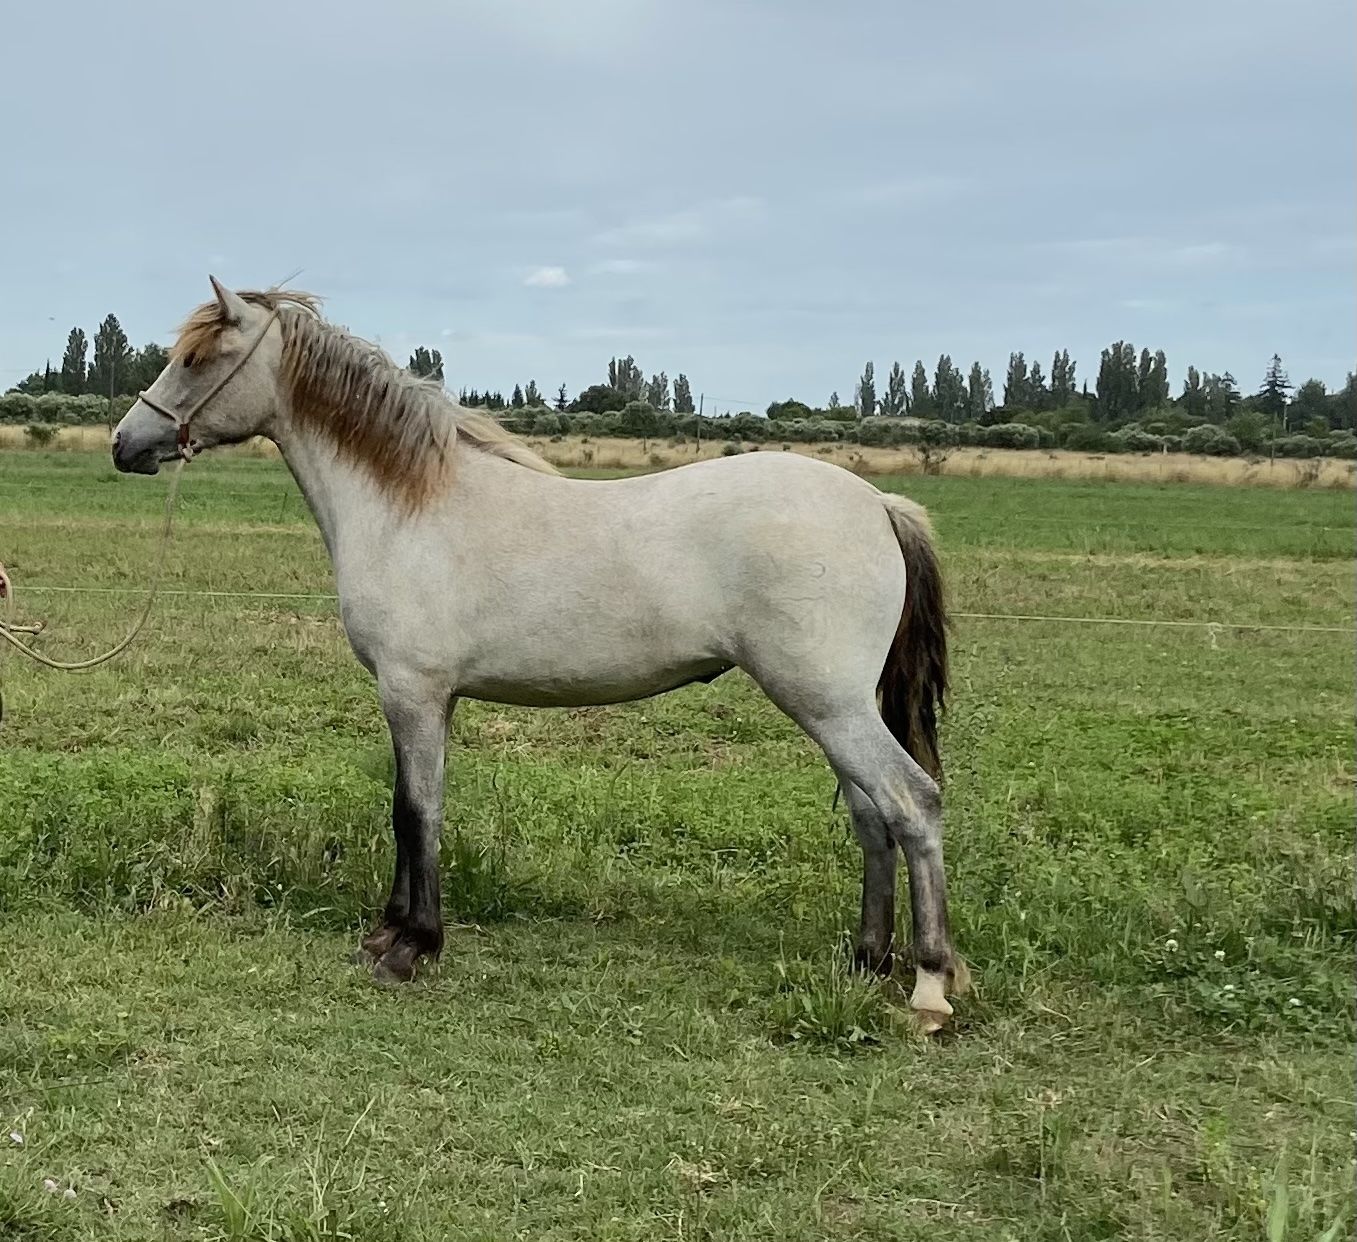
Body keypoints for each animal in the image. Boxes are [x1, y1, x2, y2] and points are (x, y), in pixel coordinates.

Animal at [111, 279, 971, 1031]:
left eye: (198, 358)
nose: (125, 444)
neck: (409, 505)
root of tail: (876, 504)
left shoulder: (412, 692)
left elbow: (415, 810)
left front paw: (410, 948)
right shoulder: (427, 700)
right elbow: (411, 810)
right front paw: (389, 933)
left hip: (827, 704)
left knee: (911, 804)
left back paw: (928, 987)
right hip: (831, 709)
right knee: (870, 816)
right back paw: (864, 959)